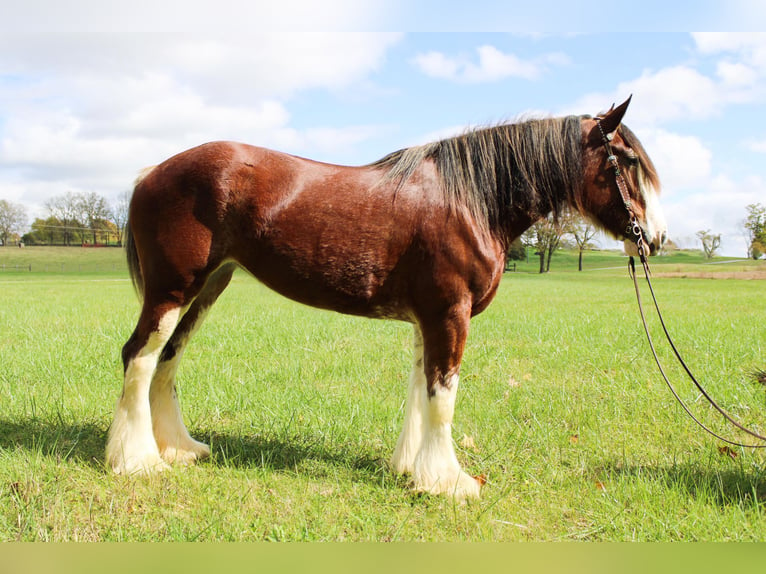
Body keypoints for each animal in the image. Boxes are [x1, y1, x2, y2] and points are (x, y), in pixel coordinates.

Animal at [106, 98, 664, 500]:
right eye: (627, 161)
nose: (655, 238)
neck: (472, 200)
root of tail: (152, 172)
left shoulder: (427, 319)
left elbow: (421, 389)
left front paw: (412, 468)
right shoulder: (449, 315)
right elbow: (443, 394)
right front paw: (449, 482)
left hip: (207, 287)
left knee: (167, 359)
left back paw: (179, 449)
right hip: (172, 290)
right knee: (139, 356)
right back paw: (136, 461)